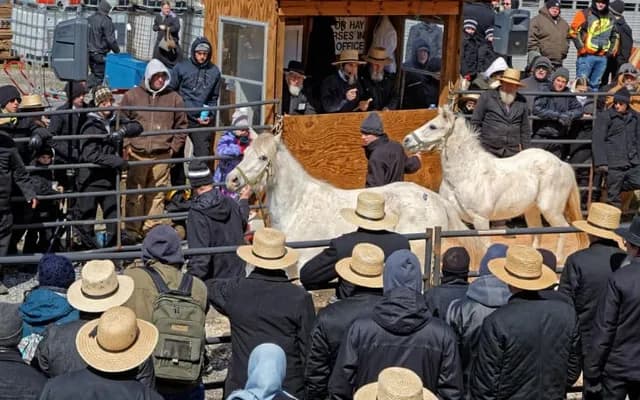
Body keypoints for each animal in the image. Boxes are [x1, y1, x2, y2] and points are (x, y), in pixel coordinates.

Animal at [402, 106, 588, 260]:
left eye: (433, 127)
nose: (406, 140)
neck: (465, 174)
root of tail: (562, 164)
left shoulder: (481, 220)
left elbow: (484, 246)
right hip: (532, 211)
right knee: (538, 233)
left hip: (551, 210)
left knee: (563, 230)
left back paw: (558, 260)